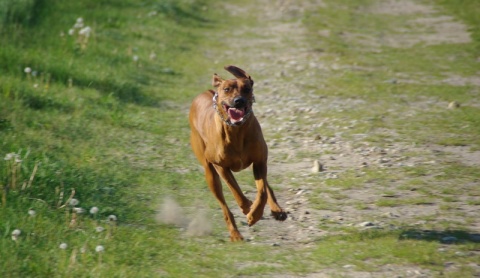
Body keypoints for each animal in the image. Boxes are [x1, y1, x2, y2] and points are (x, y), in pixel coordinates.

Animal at [188, 65, 284, 241]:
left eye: (247, 89)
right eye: (226, 89)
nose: (239, 101)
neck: (236, 131)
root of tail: (207, 92)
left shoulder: (260, 161)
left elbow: (262, 191)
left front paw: (255, 213)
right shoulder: (220, 166)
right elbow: (235, 190)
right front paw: (248, 208)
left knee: (266, 187)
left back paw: (277, 210)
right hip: (210, 173)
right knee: (224, 206)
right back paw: (235, 234)